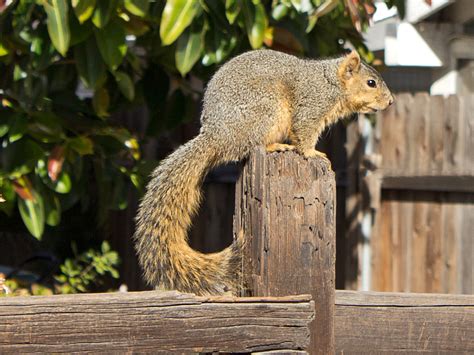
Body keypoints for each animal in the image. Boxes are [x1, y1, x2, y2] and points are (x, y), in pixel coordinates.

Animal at [133, 48, 392, 296]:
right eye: (371, 83)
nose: (390, 102)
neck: (331, 82)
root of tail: (216, 136)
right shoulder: (311, 106)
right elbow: (304, 133)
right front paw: (314, 154)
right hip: (267, 111)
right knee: (254, 144)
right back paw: (275, 146)